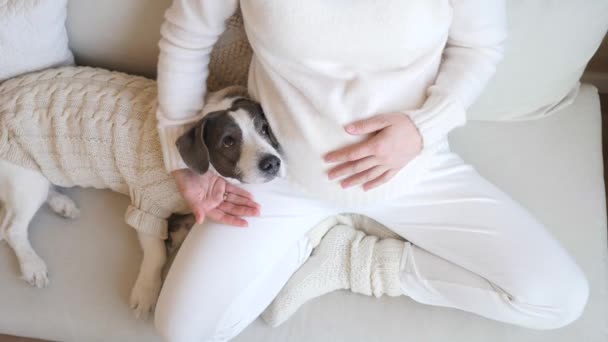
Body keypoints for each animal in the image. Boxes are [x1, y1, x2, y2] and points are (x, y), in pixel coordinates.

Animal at [0, 66, 284, 318]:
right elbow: (156, 254)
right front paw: (146, 291)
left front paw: (179, 230)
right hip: (26, 180)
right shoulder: (145, 206)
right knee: (11, 229)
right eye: (228, 142)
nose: (272, 163)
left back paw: (62, 203)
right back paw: (32, 265)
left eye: (265, 128)